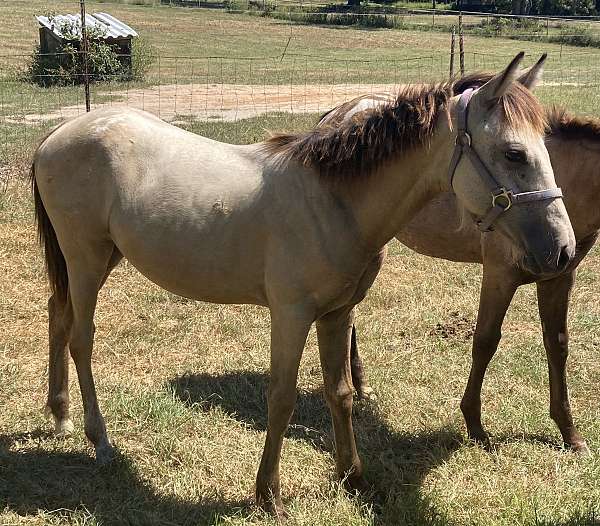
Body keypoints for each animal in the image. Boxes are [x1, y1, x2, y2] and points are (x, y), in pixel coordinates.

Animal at [328, 66, 596, 456]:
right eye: (514, 154)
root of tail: (337, 112)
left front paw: (569, 432)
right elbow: (485, 341)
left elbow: (557, 344)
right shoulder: (499, 275)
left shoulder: (560, 276)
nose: (562, 246)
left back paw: (361, 384)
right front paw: (474, 424)